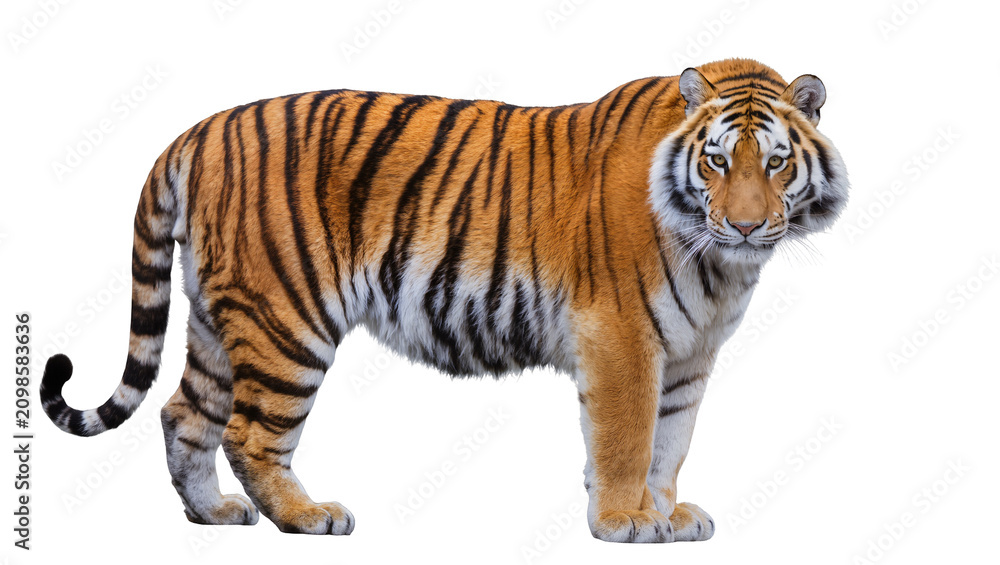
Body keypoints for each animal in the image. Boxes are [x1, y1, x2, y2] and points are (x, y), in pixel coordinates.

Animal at [40, 58, 848, 543]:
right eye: (716, 161)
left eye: (777, 163)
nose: (745, 224)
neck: (719, 265)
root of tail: (198, 131)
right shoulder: (622, 338)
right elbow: (626, 439)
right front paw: (624, 521)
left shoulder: (687, 355)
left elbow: (669, 442)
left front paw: (670, 514)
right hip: (286, 320)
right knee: (248, 433)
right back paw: (308, 516)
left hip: (217, 317)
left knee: (184, 413)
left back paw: (212, 513)